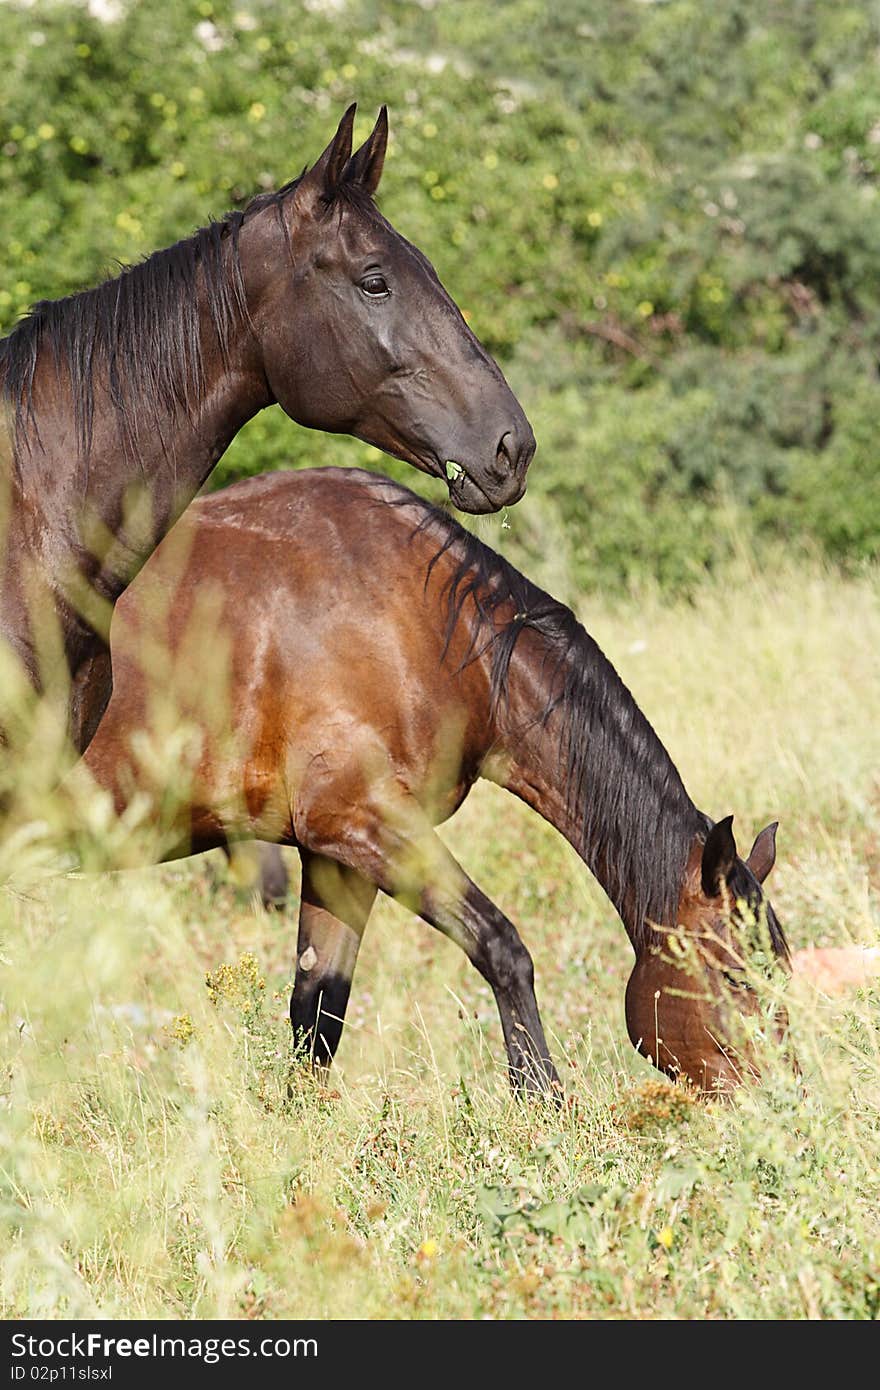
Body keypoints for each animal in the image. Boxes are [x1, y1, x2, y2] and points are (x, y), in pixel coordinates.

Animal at [75, 469, 789, 1095]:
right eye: (736, 977)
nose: (780, 1100)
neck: (413, 617)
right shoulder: (362, 821)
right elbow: (502, 948)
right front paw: (544, 1105)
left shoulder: (338, 856)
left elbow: (318, 1013)